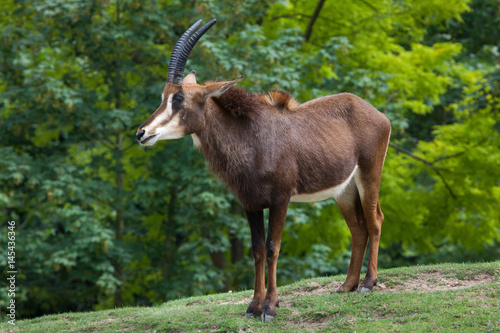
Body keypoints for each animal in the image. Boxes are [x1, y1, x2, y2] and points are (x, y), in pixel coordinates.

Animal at [137, 18, 390, 322]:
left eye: (179, 99)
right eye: (164, 97)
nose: (142, 133)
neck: (250, 137)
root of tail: (377, 114)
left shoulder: (281, 199)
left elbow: (272, 247)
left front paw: (269, 307)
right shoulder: (250, 203)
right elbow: (257, 249)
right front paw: (253, 306)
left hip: (369, 175)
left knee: (375, 220)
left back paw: (367, 284)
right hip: (344, 190)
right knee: (358, 228)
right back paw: (346, 286)